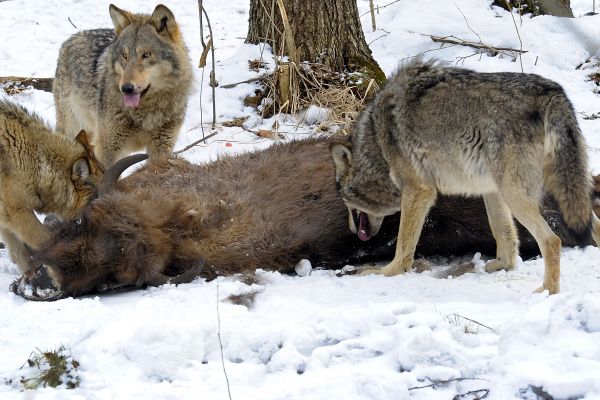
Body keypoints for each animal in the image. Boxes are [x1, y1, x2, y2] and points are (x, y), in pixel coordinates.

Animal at [52, 3, 192, 166]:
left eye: (146, 55)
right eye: (124, 56)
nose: (126, 88)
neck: (146, 115)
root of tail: (71, 39)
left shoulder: (162, 149)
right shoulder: (108, 150)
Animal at [330, 59, 600, 294]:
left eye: (343, 199)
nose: (352, 230)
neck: (377, 140)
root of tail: (552, 91)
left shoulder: (419, 191)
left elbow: (404, 244)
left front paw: (386, 272)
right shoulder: (491, 190)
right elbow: (503, 231)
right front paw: (504, 265)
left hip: (520, 195)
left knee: (552, 241)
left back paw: (547, 293)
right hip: (550, 190)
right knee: (593, 225)